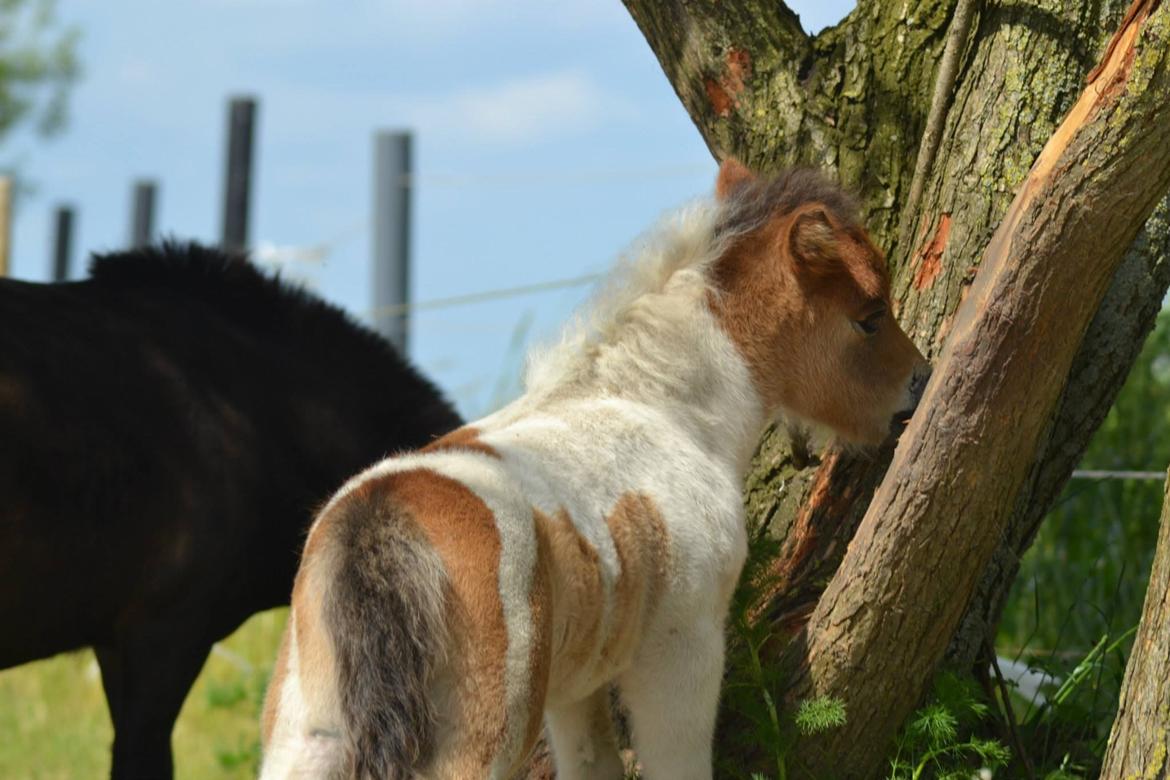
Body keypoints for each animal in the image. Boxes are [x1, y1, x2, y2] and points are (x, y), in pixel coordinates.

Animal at [260, 160, 926, 780]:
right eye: (869, 316)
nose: (918, 386)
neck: (662, 406)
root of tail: (381, 524)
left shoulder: (577, 687)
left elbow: (591, 763)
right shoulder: (682, 651)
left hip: (304, 736)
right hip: (479, 742)